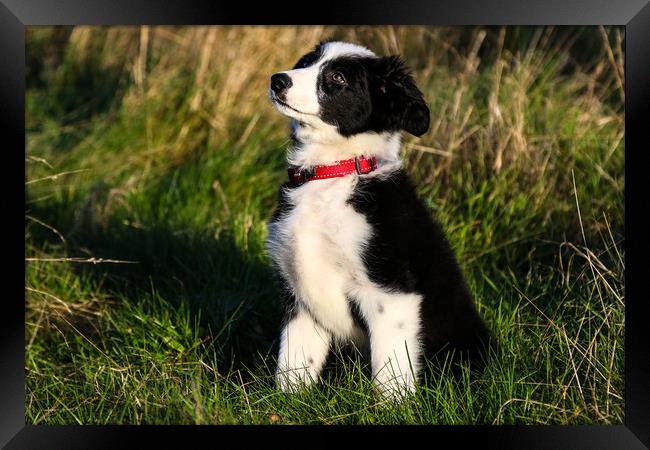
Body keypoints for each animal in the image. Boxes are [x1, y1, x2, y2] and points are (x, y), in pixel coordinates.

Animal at [264, 40, 492, 396]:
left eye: (338, 77)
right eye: (305, 62)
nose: (277, 80)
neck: (331, 174)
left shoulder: (391, 290)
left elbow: (390, 368)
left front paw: (394, 405)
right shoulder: (299, 294)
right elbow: (294, 362)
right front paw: (288, 401)